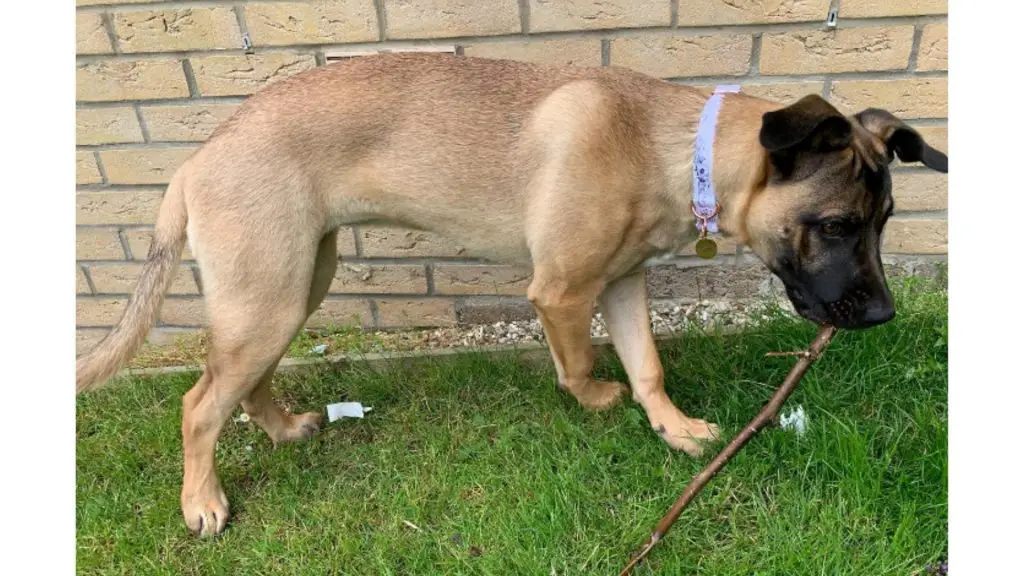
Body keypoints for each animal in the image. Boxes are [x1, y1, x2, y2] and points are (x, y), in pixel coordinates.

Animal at [75, 53, 946, 532]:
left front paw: (671, 429)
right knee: (198, 405)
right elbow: (581, 364)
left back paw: (285, 430)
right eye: (836, 225)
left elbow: (648, 364)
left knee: (243, 384)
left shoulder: (622, 282)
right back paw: (202, 501)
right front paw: (597, 402)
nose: (884, 315)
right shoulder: (561, 291)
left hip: (292, 286)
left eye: (884, 221)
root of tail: (193, 162)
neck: (674, 148)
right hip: (271, 295)